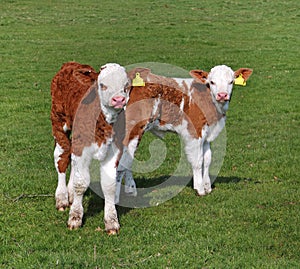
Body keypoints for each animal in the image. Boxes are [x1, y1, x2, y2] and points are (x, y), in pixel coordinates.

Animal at [50, 61, 130, 232]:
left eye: (126, 86)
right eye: (102, 85)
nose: (119, 99)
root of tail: (71, 64)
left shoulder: (113, 152)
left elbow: (109, 185)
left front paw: (111, 221)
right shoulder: (82, 148)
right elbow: (80, 184)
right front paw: (75, 217)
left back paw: (70, 194)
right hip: (58, 122)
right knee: (61, 158)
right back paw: (61, 197)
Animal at [116, 64, 252, 199]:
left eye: (231, 81)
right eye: (212, 82)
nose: (222, 95)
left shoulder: (207, 135)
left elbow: (207, 159)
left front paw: (207, 187)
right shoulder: (195, 133)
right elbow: (198, 161)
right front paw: (200, 189)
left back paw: (131, 190)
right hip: (133, 130)